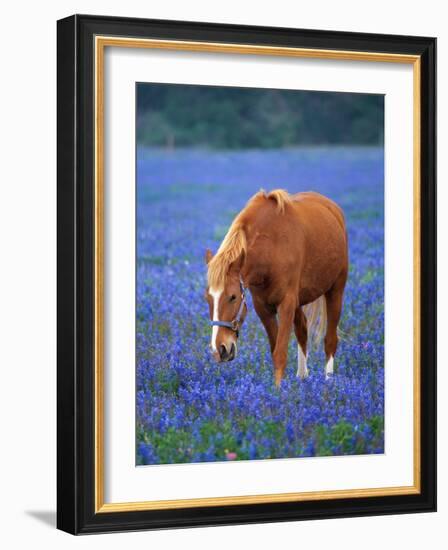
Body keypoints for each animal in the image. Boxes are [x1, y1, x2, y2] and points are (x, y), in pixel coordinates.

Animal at [205, 190, 348, 388]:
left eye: (233, 297)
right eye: (208, 298)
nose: (219, 350)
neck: (271, 248)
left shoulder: (286, 304)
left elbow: (280, 353)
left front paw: (278, 392)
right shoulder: (263, 308)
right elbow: (275, 349)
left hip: (336, 291)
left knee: (330, 340)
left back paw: (329, 382)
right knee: (302, 330)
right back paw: (302, 377)